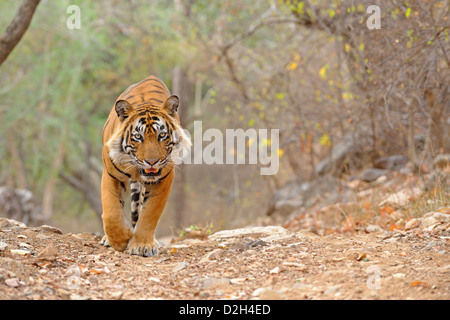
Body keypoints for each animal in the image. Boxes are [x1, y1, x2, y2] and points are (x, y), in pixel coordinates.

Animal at [100, 75, 190, 258]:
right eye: (137, 136)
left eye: (162, 135)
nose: (152, 161)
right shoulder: (111, 175)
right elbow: (112, 211)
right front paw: (120, 240)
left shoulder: (164, 179)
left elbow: (150, 214)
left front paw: (142, 245)